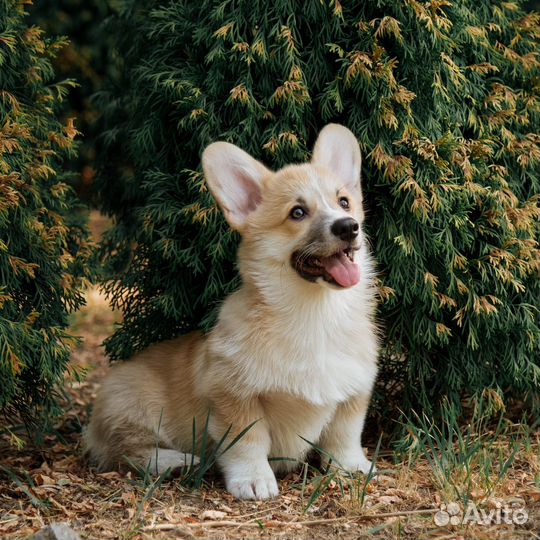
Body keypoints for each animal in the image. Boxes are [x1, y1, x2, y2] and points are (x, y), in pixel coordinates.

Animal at [84, 124, 380, 500]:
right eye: (297, 213)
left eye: (344, 202)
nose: (348, 226)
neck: (314, 313)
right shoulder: (233, 396)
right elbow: (248, 441)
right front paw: (253, 480)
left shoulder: (354, 391)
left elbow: (345, 434)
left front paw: (352, 468)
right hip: (131, 404)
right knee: (128, 451)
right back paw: (177, 462)